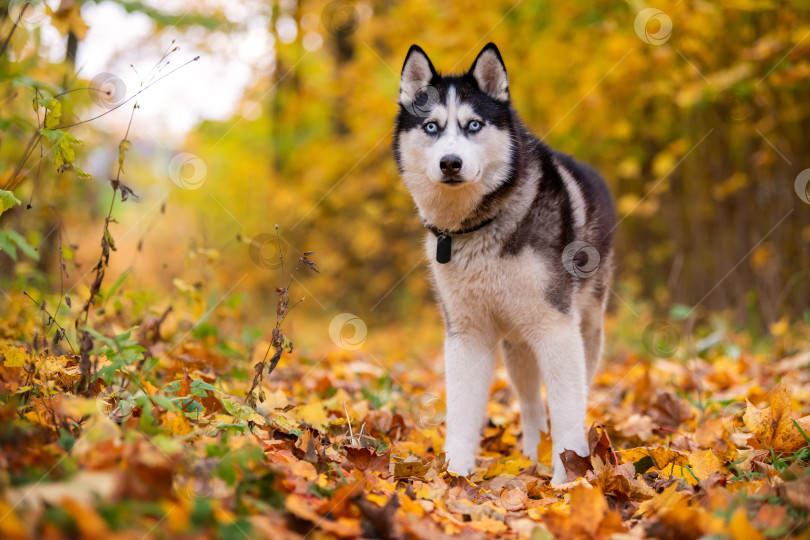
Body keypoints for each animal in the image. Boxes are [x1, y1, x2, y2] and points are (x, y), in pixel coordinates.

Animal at [392, 41, 612, 480]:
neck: (478, 226)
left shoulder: (556, 327)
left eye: (474, 125)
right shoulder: (467, 333)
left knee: (575, 390)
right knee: (530, 402)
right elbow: (461, 412)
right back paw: (531, 454)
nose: (450, 162)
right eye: (432, 127)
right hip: (517, 343)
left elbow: (567, 410)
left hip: (585, 328)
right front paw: (454, 477)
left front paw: (568, 480)